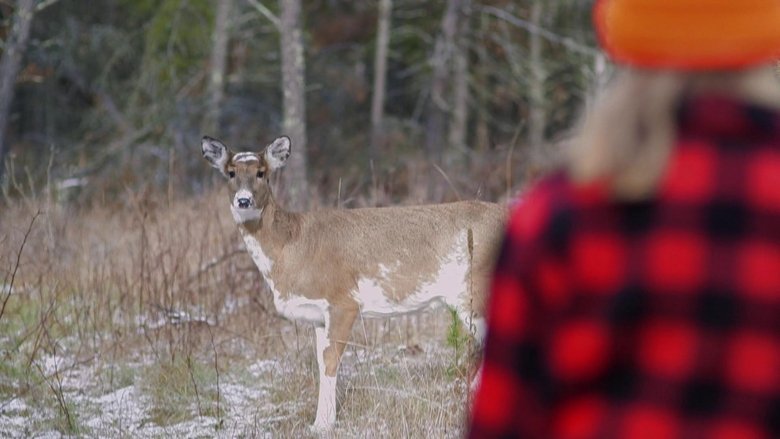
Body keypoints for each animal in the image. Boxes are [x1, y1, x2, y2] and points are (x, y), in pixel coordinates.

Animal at [201, 136, 506, 432]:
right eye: (230, 173)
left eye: (261, 172)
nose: (243, 201)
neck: (291, 246)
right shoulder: (318, 314)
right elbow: (320, 361)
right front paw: (318, 423)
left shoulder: (343, 301)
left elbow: (331, 361)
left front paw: (324, 425)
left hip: (476, 290)